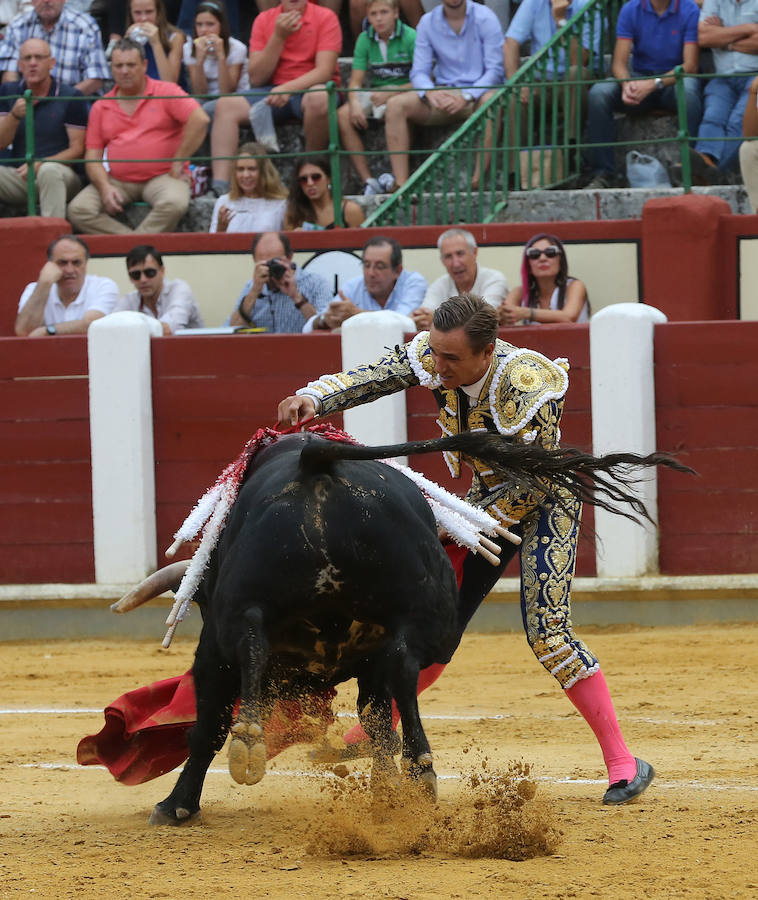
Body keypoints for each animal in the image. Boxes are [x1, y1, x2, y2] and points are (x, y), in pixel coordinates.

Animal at [150, 428, 696, 824]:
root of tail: (315, 460)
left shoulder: (210, 649)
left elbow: (206, 725)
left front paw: (176, 805)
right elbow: (377, 710)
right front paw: (389, 782)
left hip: (239, 618)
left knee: (255, 651)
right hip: (414, 614)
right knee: (401, 669)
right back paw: (415, 772)